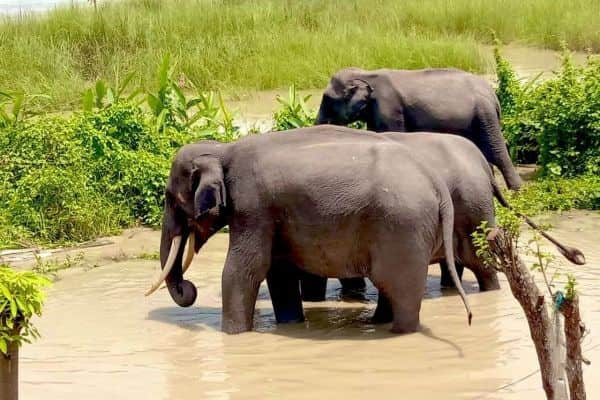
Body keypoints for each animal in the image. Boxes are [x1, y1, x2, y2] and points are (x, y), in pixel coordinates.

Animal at [145, 126, 474, 334]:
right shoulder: (272, 214)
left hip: (402, 227)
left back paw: (398, 333)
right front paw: (290, 324)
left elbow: (243, 270)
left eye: (170, 199)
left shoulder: (252, 207)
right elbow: (278, 272)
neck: (222, 150)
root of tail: (436, 182)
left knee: (400, 289)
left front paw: (232, 336)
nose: (189, 289)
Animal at [316, 67, 524, 191]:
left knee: (495, 151)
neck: (366, 73)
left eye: (327, 99)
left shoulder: (389, 108)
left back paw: (516, 191)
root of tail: (492, 94)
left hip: (484, 114)